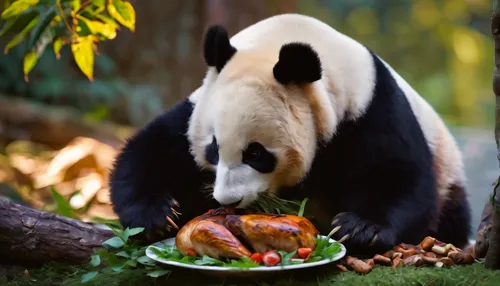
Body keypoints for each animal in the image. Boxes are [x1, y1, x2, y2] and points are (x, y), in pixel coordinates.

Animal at [107, 13, 470, 255]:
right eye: (213, 149)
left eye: (256, 153)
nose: (227, 201)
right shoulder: (196, 108)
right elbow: (150, 151)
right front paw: (156, 215)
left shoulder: (368, 108)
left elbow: (399, 174)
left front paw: (359, 228)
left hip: (449, 176)